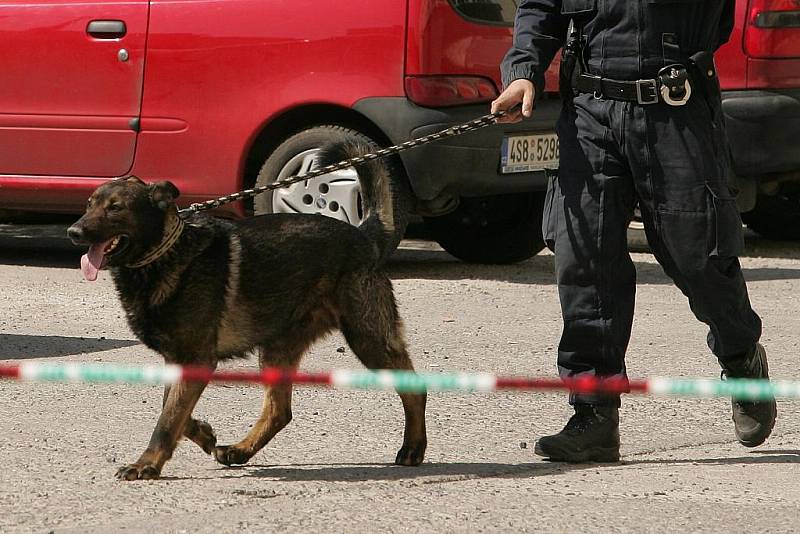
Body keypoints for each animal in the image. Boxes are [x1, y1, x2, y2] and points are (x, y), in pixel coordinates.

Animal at [69, 144, 428, 484]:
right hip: (277, 349)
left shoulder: (195, 359)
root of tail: (364, 234)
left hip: (367, 338)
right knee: (279, 411)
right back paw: (240, 450)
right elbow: (172, 409)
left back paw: (413, 447)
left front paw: (147, 464)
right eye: (89, 204)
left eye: (115, 207)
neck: (165, 253)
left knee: (414, 387)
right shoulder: (180, 361)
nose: (73, 232)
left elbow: (167, 419)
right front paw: (203, 434)